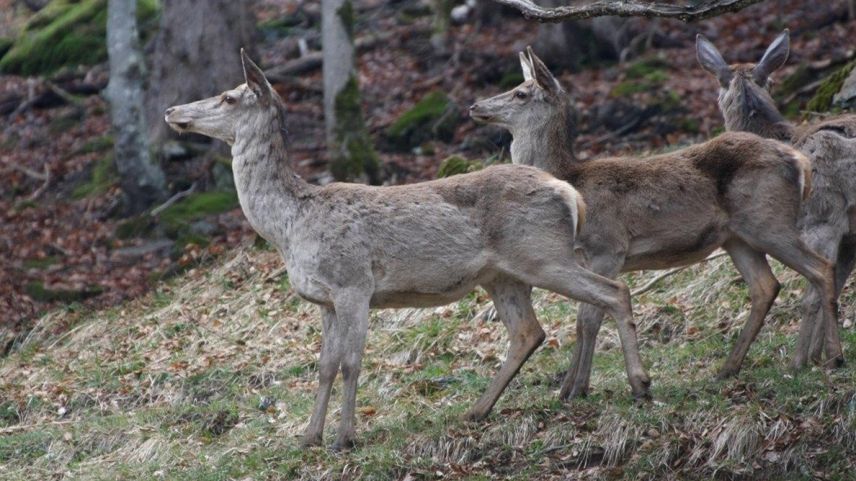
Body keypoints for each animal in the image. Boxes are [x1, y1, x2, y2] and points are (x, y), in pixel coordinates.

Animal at [164, 50, 650, 450]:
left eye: (229, 97)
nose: (171, 109)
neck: (289, 228)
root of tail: (570, 193)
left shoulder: (354, 283)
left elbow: (351, 363)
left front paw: (344, 438)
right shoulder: (324, 299)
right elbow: (323, 365)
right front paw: (308, 437)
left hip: (543, 253)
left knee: (613, 291)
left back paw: (639, 383)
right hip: (504, 275)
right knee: (529, 331)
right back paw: (478, 410)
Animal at [470, 47, 838, 400]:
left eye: (520, 93)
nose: (474, 105)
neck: (573, 183)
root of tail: (799, 160)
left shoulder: (608, 248)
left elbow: (589, 318)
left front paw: (577, 389)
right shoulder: (585, 259)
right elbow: (583, 318)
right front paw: (572, 388)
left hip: (769, 221)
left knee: (821, 267)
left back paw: (831, 356)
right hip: (737, 237)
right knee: (766, 286)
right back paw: (728, 368)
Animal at [697, 30, 856, 366]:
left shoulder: (822, 221)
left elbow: (816, 293)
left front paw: (803, 362)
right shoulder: (851, 236)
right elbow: (836, 287)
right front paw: (818, 356)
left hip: (824, 211)